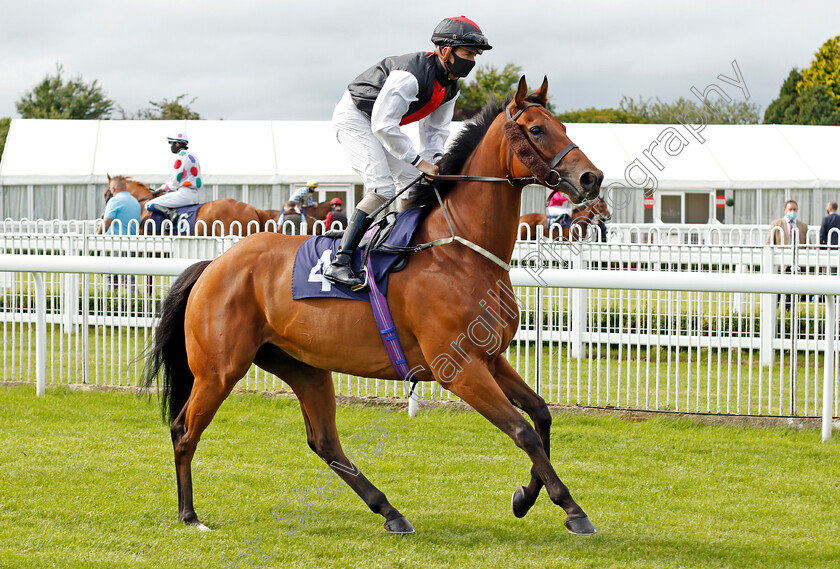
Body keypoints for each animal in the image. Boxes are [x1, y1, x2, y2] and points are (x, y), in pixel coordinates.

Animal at [144, 77, 604, 536]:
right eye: (537, 129)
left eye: (562, 125)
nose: (592, 177)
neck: (458, 251)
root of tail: (214, 264)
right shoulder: (459, 370)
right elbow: (522, 430)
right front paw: (571, 508)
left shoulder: (490, 358)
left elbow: (541, 414)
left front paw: (528, 497)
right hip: (219, 370)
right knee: (184, 430)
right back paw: (190, 514)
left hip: (303, 366)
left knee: (324, 442)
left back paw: (390, 511)